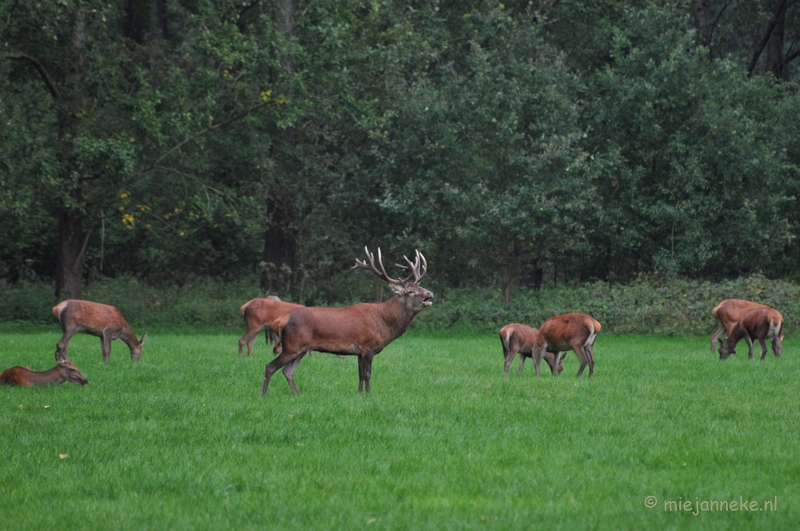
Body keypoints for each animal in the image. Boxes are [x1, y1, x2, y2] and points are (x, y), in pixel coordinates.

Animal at [260, 247, 434, 396]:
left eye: (421, 286)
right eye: (410, 291)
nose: (430, 293)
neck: (385, 323)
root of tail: (282, 320)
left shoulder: (359, 351)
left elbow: (360, 375)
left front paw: (360, 393)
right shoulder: (368, 346)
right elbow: (368, 374)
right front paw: (368, 394)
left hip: (301, 348)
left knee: (288, 371)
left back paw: (298, 394)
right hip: (292, 345)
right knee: (270, 366)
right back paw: (263, 395)